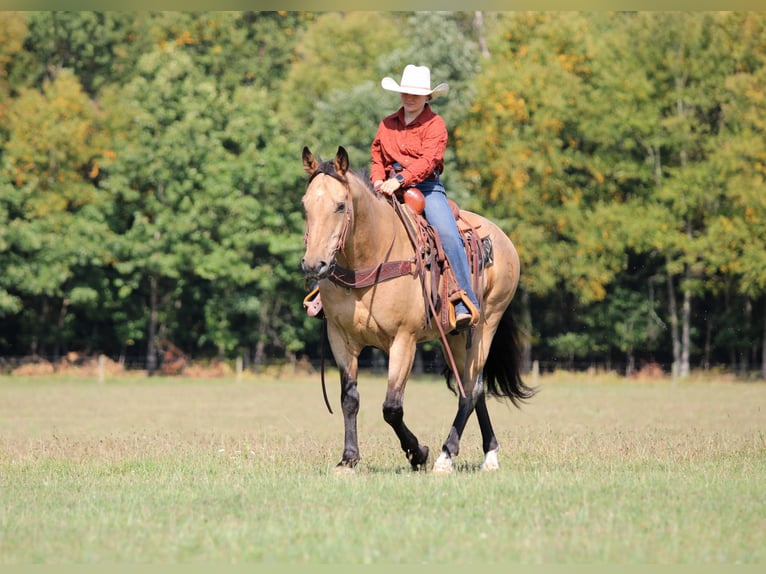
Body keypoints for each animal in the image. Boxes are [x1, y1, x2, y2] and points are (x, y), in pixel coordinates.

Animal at [300, 145, 535, 474]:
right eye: (305, 205)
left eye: (340, 205)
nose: (313, 264)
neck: (370, 259)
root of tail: (503, 239)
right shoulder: (340, 338)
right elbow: (350, 398)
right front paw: (348, 459)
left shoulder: (404, 339)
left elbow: (391, 407)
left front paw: (418, 453)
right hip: (455, 336)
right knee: (472, 388)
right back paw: (489, 454)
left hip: (485, 326)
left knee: (472, 389)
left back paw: (446, 456)